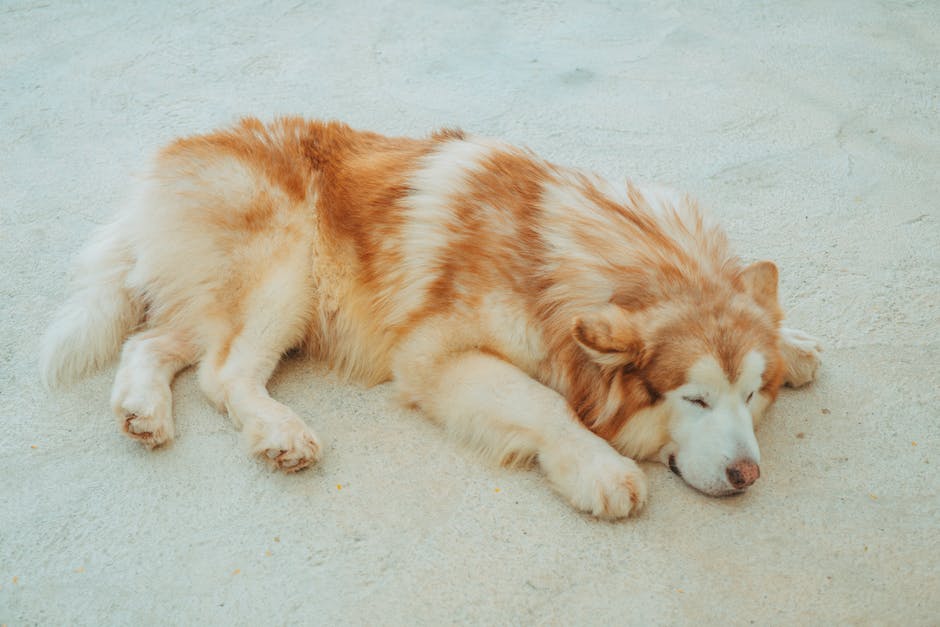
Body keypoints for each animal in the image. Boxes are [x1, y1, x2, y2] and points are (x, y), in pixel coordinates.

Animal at [40, 119, 820, 520]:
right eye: (694, 399)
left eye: (751, 394)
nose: (748, 473)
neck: (563, 258)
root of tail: (162, 169)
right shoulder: (436, 356)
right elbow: (543, 403)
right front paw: (598, 466)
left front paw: (796, 343)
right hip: (288, 266)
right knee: (222, 371)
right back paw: (279, 431)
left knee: (154, 341)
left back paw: (143, 409)